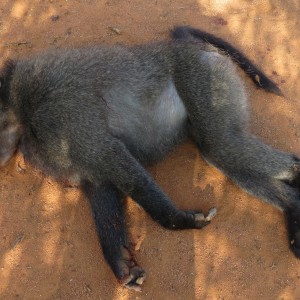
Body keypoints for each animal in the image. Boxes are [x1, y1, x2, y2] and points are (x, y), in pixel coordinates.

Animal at [0, 25, 298, 290]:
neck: (19, 111)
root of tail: (184, 45)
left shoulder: (59, 116)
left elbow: (114, 159)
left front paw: (179, 221)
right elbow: (99, 185)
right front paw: (122, 266)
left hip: (203, 74)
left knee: (224, 144)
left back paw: (294, 176)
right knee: (219, 152)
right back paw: (292, 207)